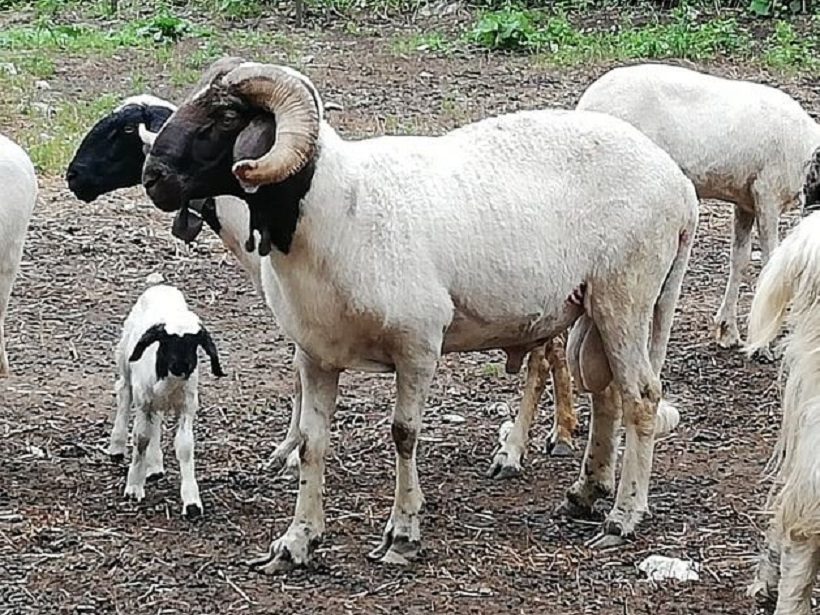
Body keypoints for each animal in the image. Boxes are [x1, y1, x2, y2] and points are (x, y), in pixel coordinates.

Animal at [115, 282, 224, 516]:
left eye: (195, 342)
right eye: (166, 340)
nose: (182, 365)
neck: (169, 382)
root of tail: (160, 285)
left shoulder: (187, 407)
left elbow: (184, 446)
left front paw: (192, 503)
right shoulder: (144, 403)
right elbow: (141, 439)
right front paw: (133, 488)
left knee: (156, 421)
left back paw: (155, 466)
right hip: (125, 363)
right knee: (123, 392)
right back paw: (116, 447)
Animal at [141, 59, 700, 572]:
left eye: (226, 114)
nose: (152, 177)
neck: (336, 209)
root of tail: (678, 185)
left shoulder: (418, 346)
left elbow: (403, 434)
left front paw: (402, 534)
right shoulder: (315, 356)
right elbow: (313, 443)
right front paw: (296, 542)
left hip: (626, 294)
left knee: (641, 397)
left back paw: (622, 519)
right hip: (594, 306)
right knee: (606, 391)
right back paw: (586, 493)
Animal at [572, 63, 820, 352]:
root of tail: (585, 102)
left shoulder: (745, 200)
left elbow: (740, 258)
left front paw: (727, 330)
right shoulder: (767, 191)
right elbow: (770, 259)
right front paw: (764, 345)